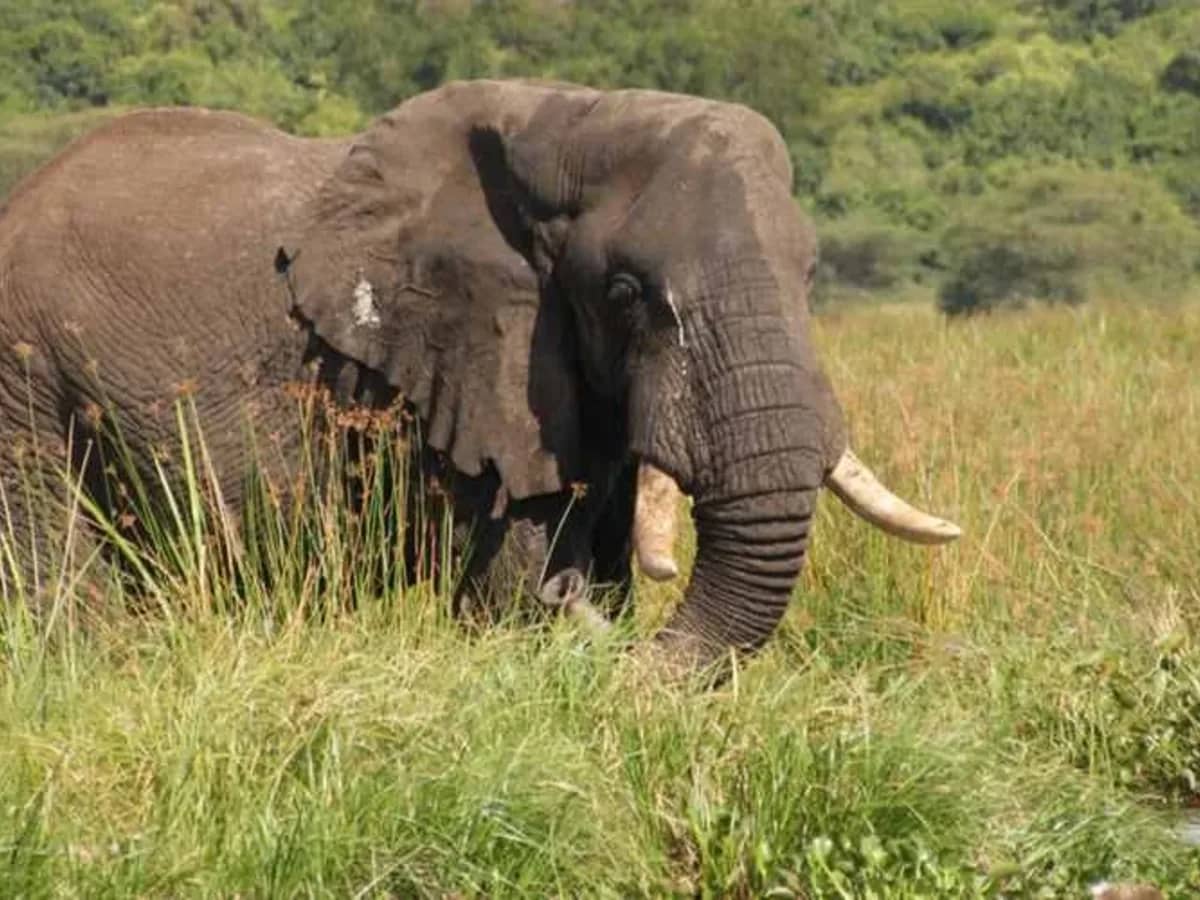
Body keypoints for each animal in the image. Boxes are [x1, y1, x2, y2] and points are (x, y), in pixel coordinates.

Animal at [0, 79, 959, 668]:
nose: (575, 601)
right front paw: (548, 602)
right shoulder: (452, 372)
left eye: (810, 275)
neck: (568, 118)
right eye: (625, 294)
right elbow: (509, 571)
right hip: (26, 385)